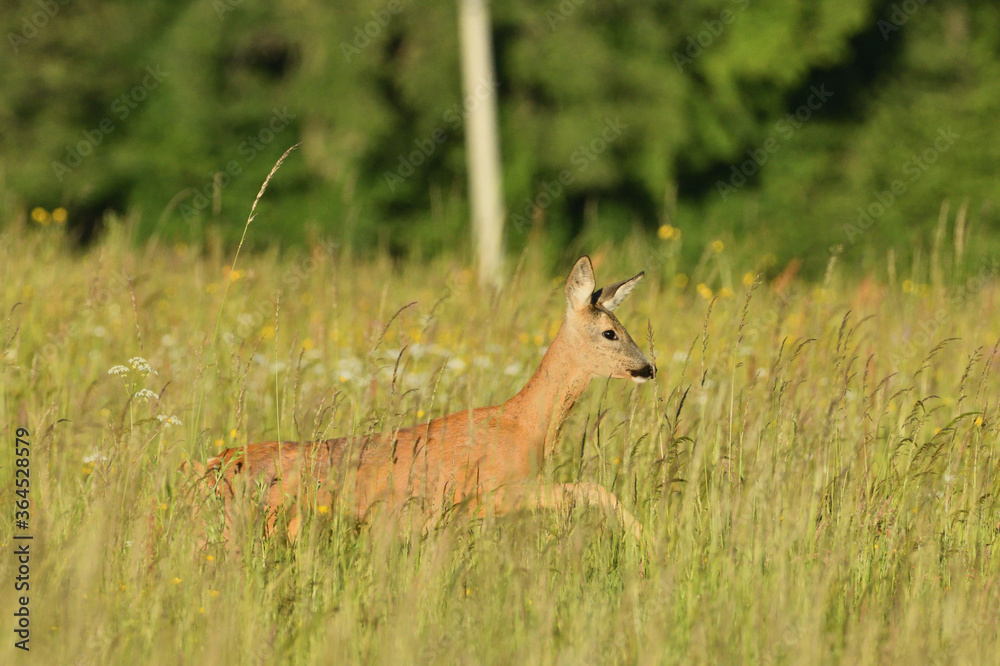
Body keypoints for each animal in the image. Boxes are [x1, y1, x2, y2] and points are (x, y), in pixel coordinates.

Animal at [189, 256, 656, 544]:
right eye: (610, 333)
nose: (649, 368)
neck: (526, 425)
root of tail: (212, 465)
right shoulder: (495, 492)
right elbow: (591, 489)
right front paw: (645, 542)